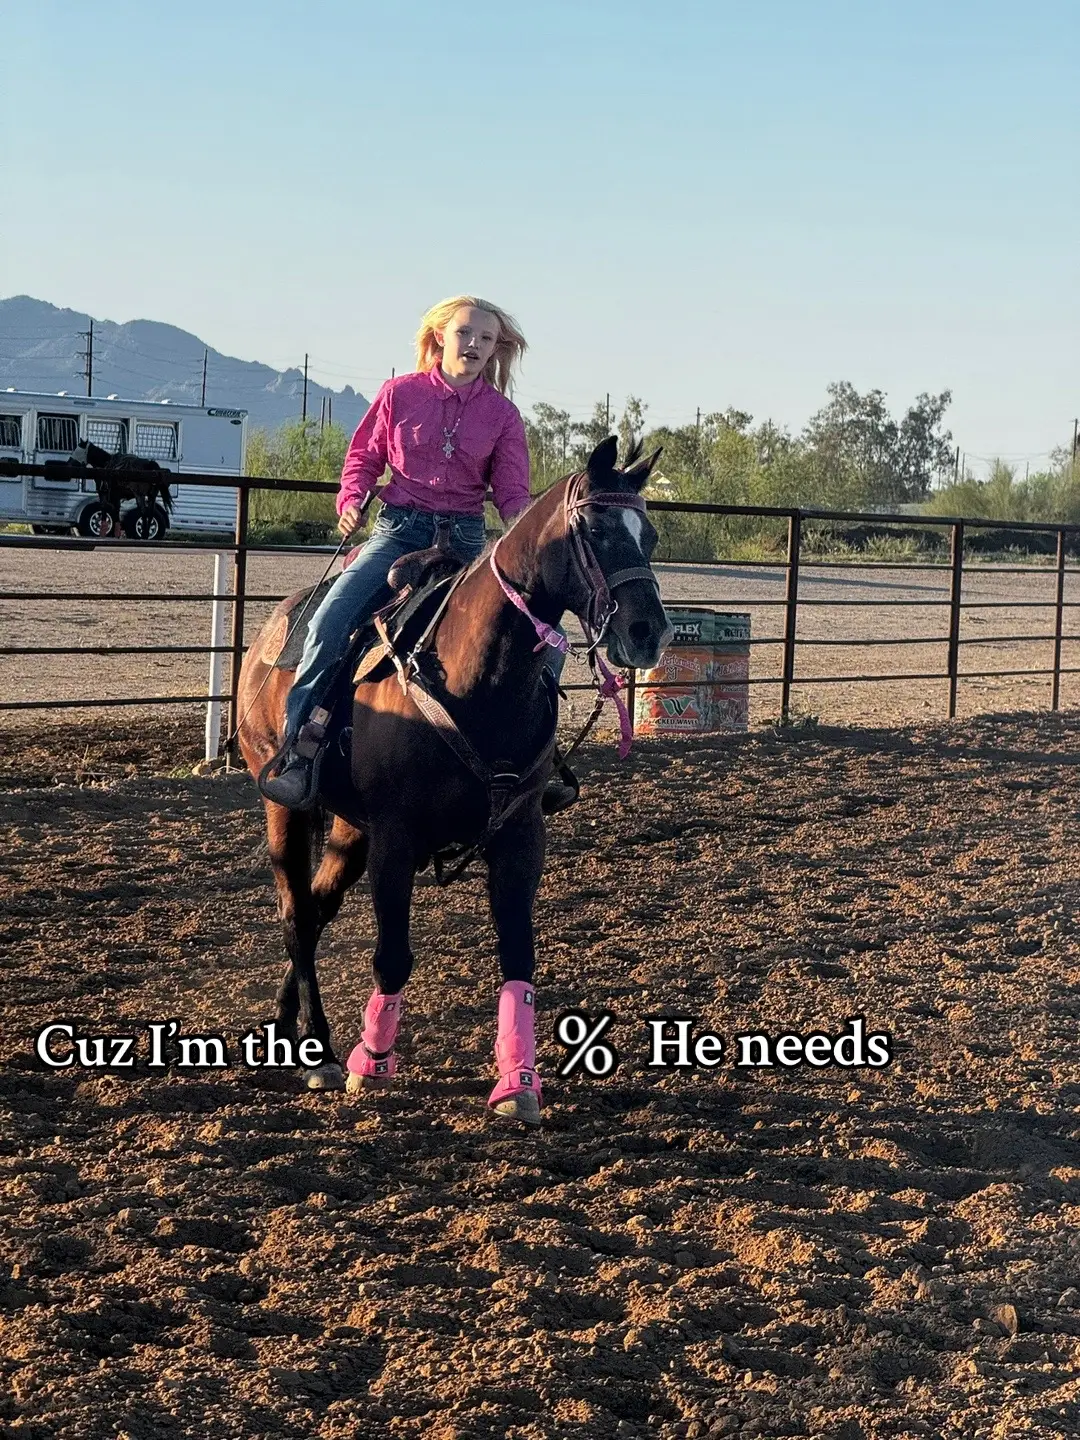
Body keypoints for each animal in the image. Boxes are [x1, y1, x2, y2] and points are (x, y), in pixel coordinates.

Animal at [239, 434, 676, 1123]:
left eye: (650, 534)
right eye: (596, 527)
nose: (649, 632)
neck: (478, 678)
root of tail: (270, 634)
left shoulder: (520, 837)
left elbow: (518, 957)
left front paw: (518, 1084)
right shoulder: (396, 837)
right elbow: (392, 955)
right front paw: (372, 1062)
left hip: (350, 828)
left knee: (317, 908)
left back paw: (289, 1031)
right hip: (286, 805)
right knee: (298, 916)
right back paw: (323, 1052)